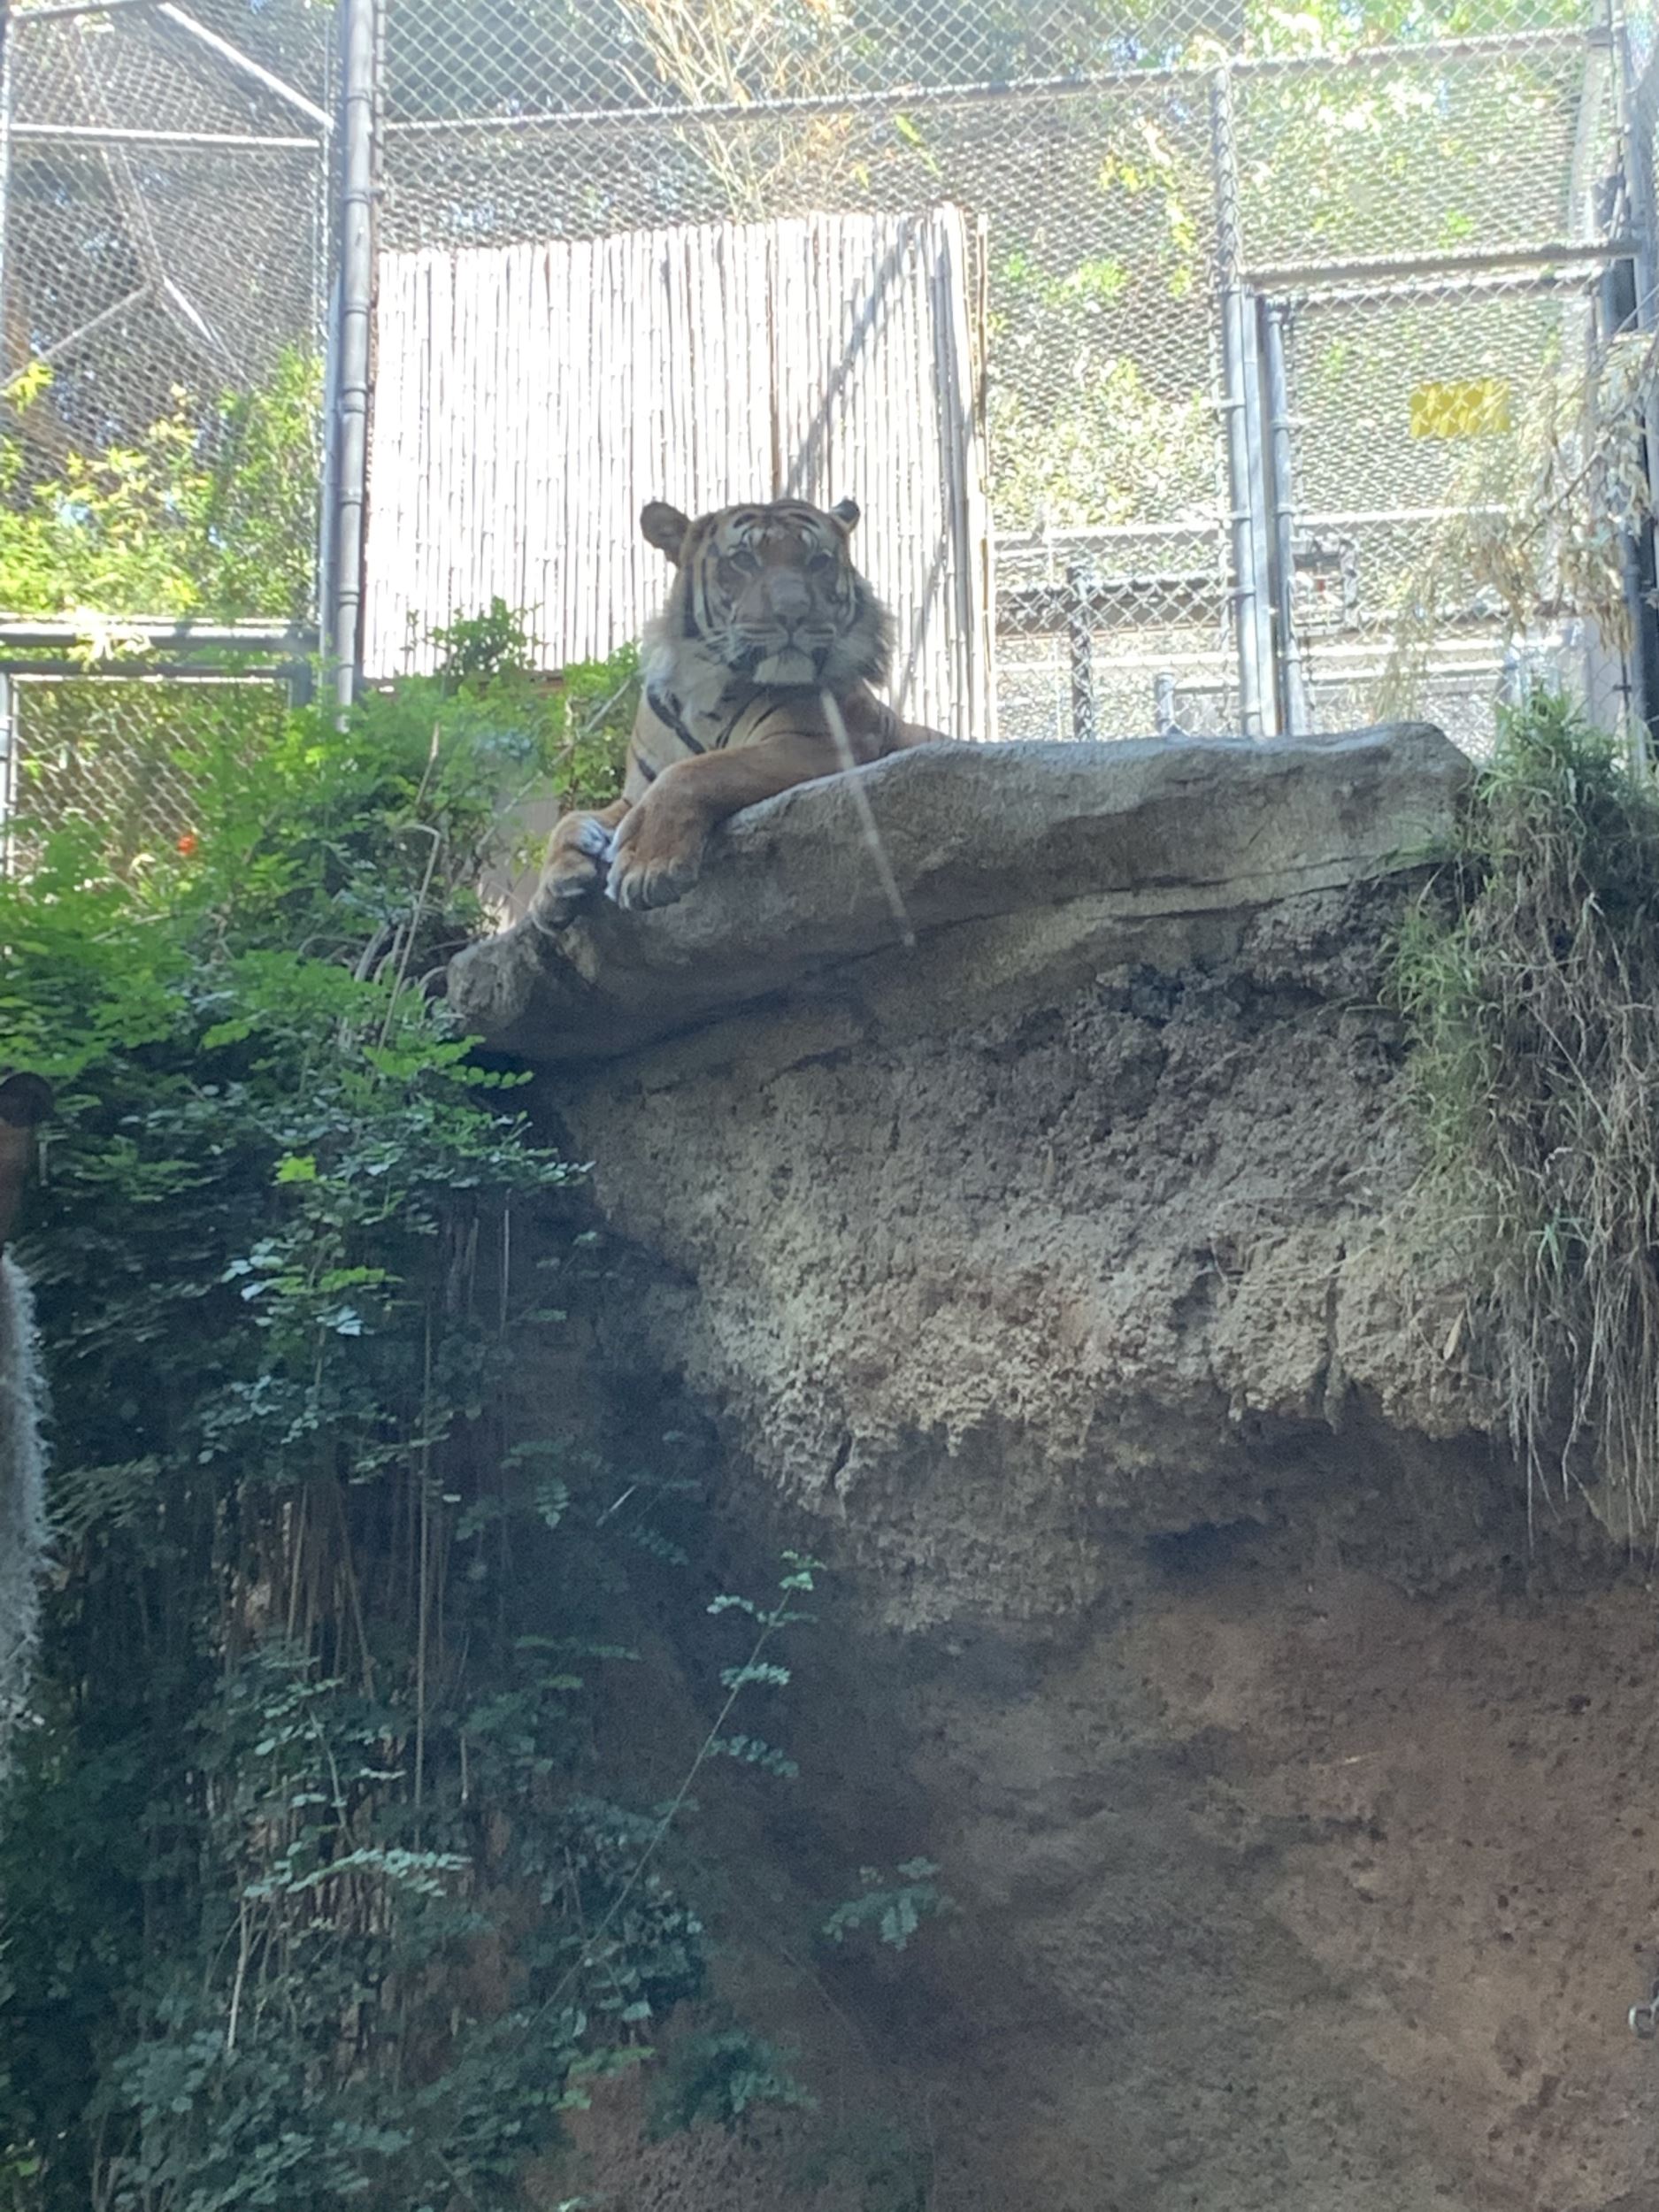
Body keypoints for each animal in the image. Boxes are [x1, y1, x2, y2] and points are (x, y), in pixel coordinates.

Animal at [533, 495, 951, 926]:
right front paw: (553, 886)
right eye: (744, 560)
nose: (794, 613)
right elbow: (571, 817)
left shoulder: (836, 741)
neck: (706, 691)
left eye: (818, 561)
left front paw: (646, 863)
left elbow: (701, 769)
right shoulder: (635, 793)